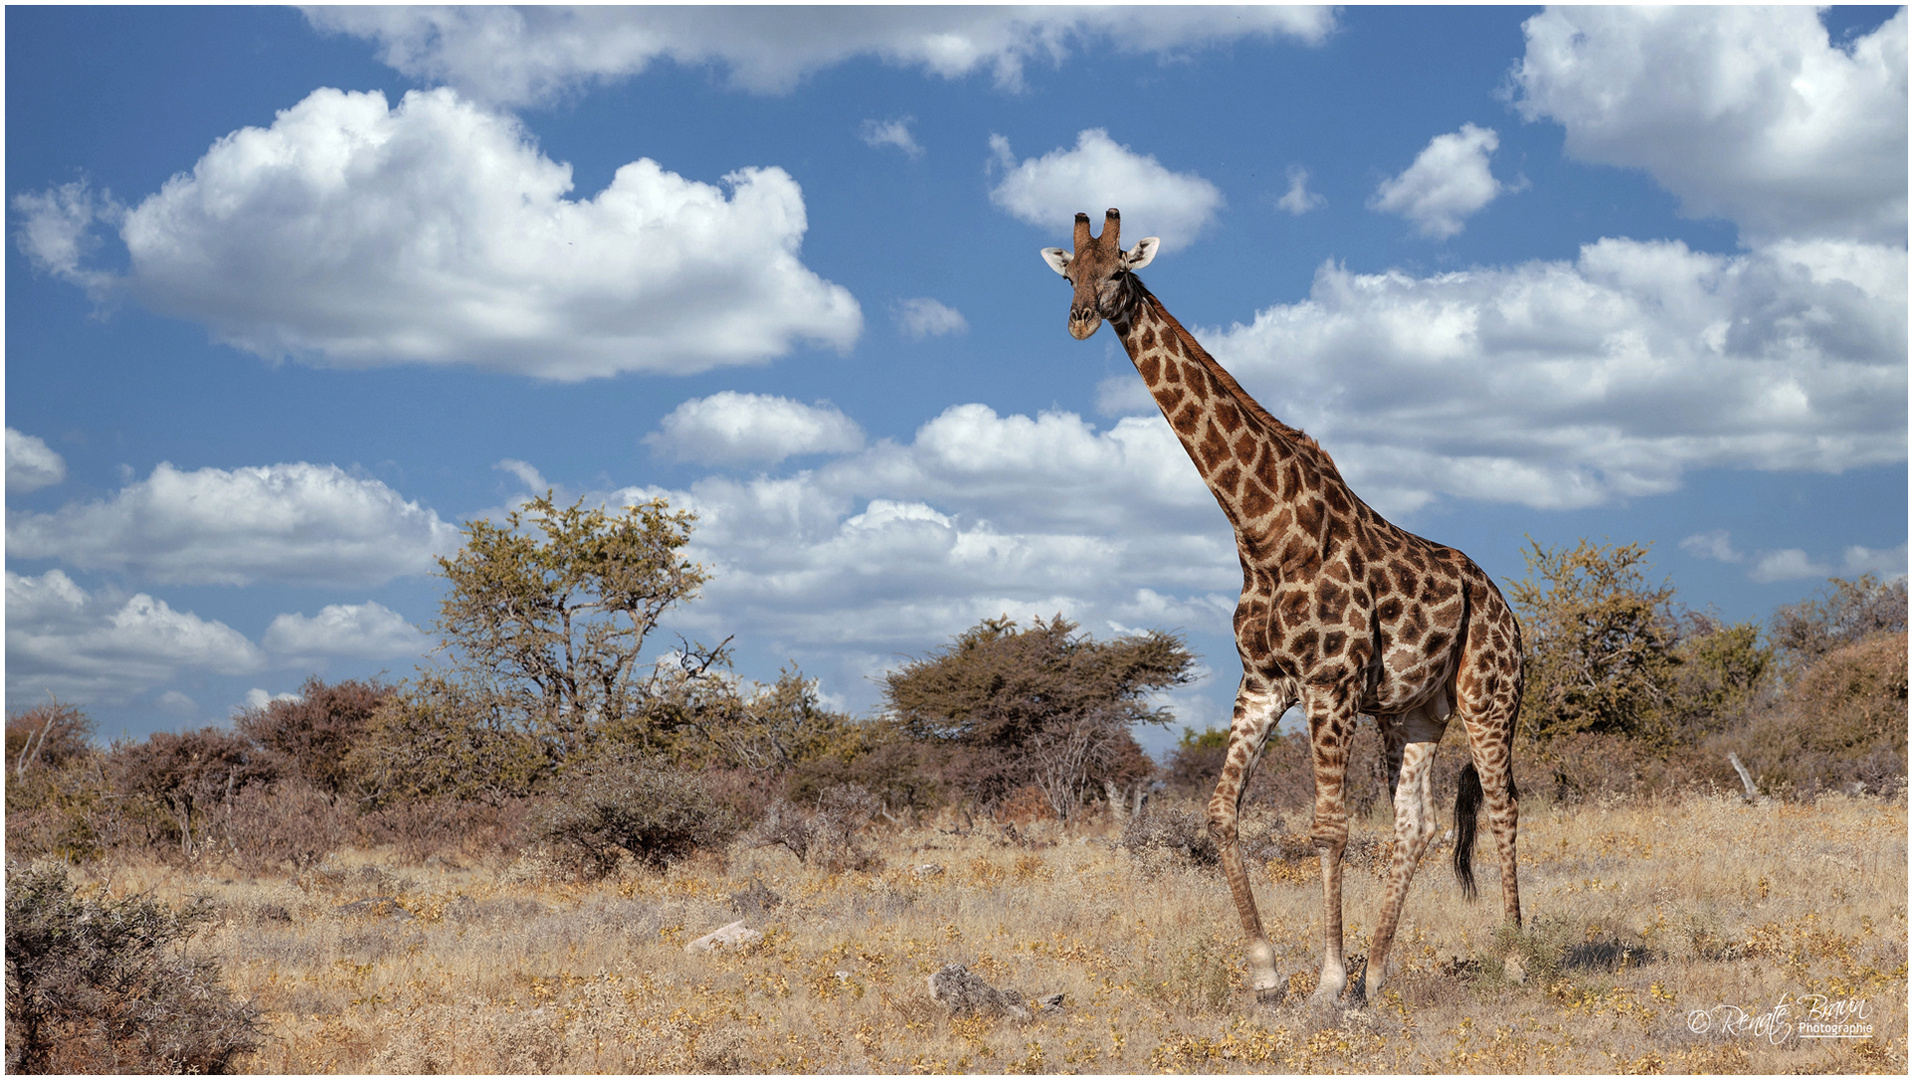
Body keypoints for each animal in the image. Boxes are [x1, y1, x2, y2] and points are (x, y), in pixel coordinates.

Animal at [1048, 208, 1522, 1001]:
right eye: (1068, 275)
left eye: (1117, 269)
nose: (1081, 319)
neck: (1262, 529)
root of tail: (1509, 611)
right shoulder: (1265, 682)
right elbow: (1220, 813)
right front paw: (1268, 972)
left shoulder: (1329, 684)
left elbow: (1328, 824)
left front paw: (1327, 979)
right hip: (1413, 712)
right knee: (1416, 825)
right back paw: (1379, 973)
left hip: (1489, 698)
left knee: (1504, 805)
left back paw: (1514, 956)